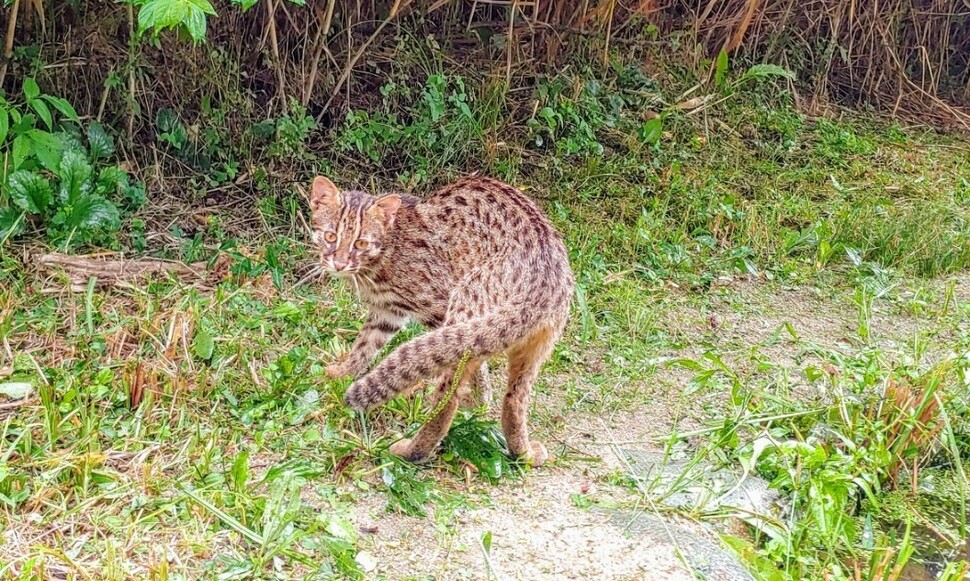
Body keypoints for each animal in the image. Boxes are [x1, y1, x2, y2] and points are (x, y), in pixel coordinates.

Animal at [306, 172, 572, 462]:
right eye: (330, 236)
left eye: (361, 243)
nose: (339, 263)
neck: (386, 250)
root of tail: (544, 282)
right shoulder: (388, 313)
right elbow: (364, 346)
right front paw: (341, 373)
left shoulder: (438, 306)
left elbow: (476, 371)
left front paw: (479, 400)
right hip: (536, 343)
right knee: (515, 398)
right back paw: (523, 453)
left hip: (466, 303)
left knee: (448, 396)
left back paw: (413, 450)